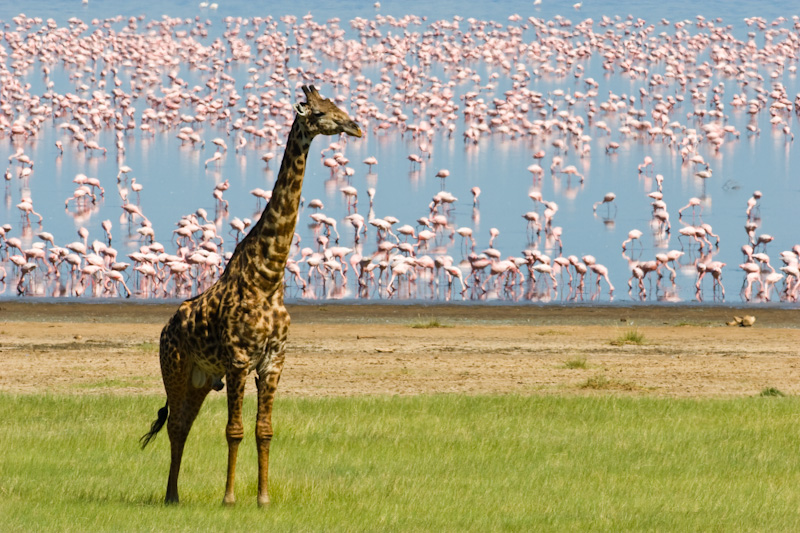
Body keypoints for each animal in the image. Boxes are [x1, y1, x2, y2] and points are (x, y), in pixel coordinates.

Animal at [141, 85, 362, 504]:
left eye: (335, 104)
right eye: (319, 111)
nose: (355, 126)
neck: (269, 277)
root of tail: (164, 329)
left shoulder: (273, 363)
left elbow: (264, 431)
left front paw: (263, 497)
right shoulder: (239, 361)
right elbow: (234, 431)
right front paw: (229, 498)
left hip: (199, 379)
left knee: (183, 424)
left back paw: (174, 494)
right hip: (174, 369)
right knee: (175, 425)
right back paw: (170, 496)